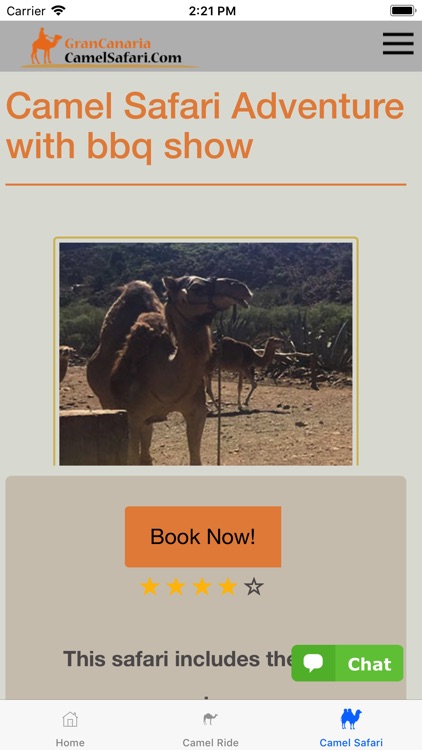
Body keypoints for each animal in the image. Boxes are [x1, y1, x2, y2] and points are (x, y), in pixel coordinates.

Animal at [87, 276, 252, 465]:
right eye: (196, 287)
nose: (241, 287)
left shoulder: (197, 413)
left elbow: (196, 459)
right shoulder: (132, 417)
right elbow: (131, 458)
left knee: (147, 438)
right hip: (106, 401)